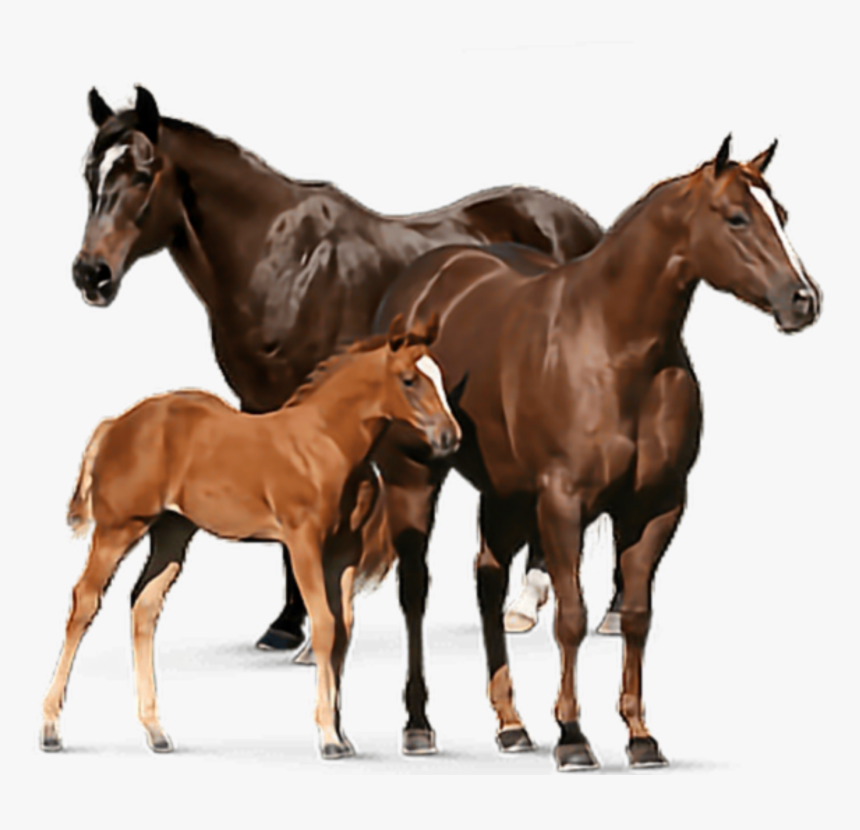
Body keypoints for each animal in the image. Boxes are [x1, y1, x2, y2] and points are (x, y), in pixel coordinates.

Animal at [41, 316, 459, 759]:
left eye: (438, 375)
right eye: (409, 380)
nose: (450, 436)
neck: (327, 443)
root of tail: (114, 425)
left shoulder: (345, 552)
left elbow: (343, 629)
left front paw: (343, 735)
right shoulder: (303, 544)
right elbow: (324, 626)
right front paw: (329, 738)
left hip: (172, 533)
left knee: (145, 607)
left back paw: (156, 732)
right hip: (119, 528)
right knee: (85, 601)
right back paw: (50, 729)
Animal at [73, 86, 603, 653]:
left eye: (142, 173)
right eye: (90, 173)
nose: (91, 274)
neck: (282, 262)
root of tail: (584, 225)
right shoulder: (262, 405)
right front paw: (286, 624)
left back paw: (552, 607)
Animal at [373, 136, 821, 769]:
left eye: (780, 214)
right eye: (737, 217)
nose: (802, 300)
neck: (614, 347)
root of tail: (426, 278)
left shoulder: (656, 507)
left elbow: (634, 616)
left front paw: (640, 736)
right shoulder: (563, 505)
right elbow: (572, 617)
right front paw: (572, 737)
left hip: (505, 493)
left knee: (487, 582)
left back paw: (511, 725)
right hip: (413, 475)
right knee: (415, 588)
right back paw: (418, 725)